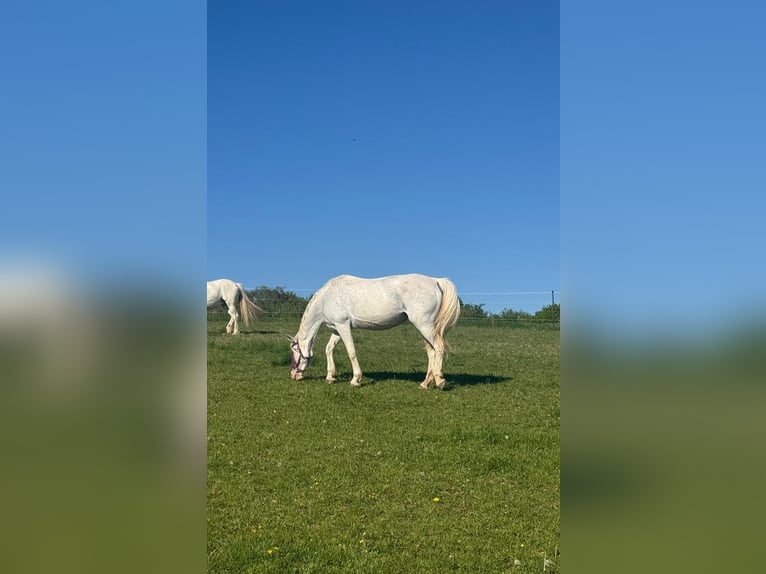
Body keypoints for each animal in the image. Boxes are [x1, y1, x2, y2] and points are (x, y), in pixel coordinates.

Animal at [289, 274, 460, 389]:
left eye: (293, 351)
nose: (294, 375)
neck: (327, 298)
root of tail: (435, 280)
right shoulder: (337, 329)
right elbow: (329, 349)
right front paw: (330, 376)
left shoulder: (343, 326)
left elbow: (351, 351)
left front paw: (356, 380)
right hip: (425, 327)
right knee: (431, 352)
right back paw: (425, 383)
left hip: (424, 325)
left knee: (438, 348)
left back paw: (439, 380)